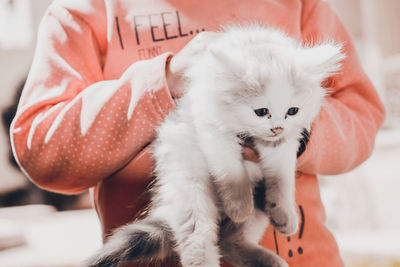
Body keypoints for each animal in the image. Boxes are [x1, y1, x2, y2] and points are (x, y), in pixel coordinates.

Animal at [84, 25, 344, 267]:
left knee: (229, 241)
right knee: (200, 241)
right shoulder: (212, 130)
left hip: (256, 196)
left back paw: (268, 258)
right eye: (261, 112)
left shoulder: (285, 145)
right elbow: (232, 174)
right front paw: (239, 205)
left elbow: (282, 181)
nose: (277, 128)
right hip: (191, 192)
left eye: (292, 110)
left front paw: (284, 214)